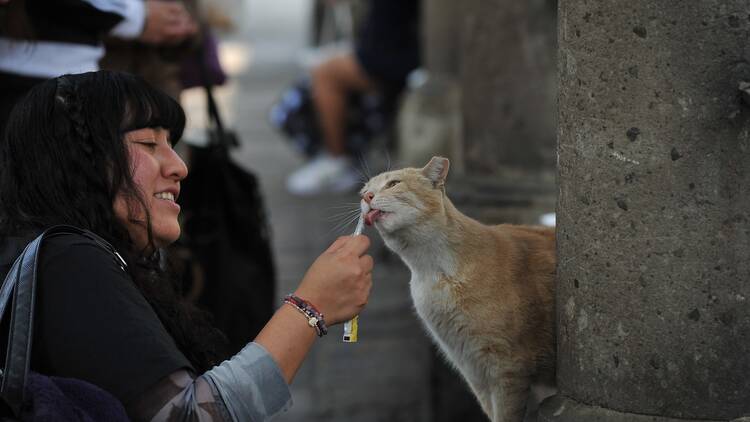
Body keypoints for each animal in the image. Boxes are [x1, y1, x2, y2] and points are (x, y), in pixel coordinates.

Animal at [362, 157, 560, 420]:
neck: (434, 273)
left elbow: (506, 414)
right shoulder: (474, 371)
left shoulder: (507, 369)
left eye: (393, 183)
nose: (367, 197)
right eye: (363, 190)